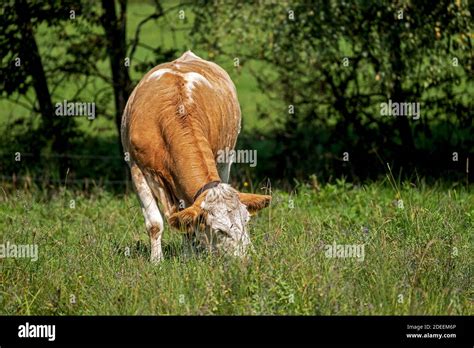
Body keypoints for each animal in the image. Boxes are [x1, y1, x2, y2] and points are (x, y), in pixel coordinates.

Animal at [120, 50, 272, 262]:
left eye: (246, 221)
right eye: (220, 230)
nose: (246, 259)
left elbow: (188, 224)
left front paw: (189, 257)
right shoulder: (138, 170)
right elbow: (155, 223)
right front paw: (157, 261)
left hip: (226, 159)